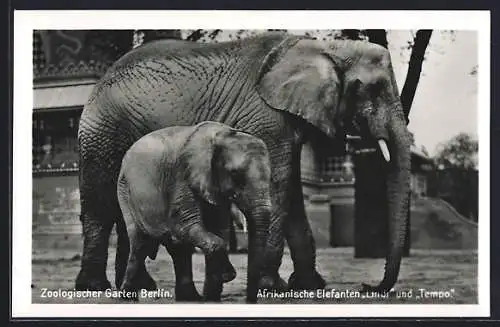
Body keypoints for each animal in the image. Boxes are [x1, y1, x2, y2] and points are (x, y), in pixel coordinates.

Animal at [115, 121, 272, 304]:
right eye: (235, 174)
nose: (249, 301)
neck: (221, 134)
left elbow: (218, 229)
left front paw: (213, 297)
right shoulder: (182, 176)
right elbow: (186, 227)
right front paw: (226, 277)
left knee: (178, 250)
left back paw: (189, 298)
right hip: (125, 192)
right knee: (140, 244)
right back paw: (127, 298)